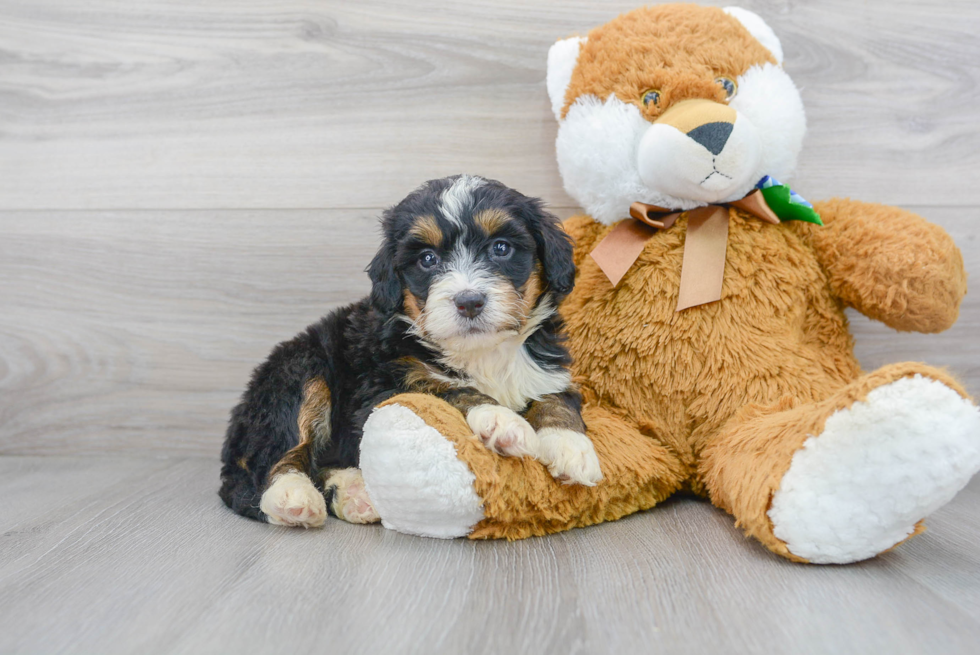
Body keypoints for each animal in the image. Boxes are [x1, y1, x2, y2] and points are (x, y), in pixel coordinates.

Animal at [221, 177, 600, 532]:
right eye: (427, 259)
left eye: (501, 248)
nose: (469, 301)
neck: (481, 352)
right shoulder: (381, 389)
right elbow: (448, 389)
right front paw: (501, 420)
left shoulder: (548, 370)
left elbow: (557, 399)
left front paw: (570, 446)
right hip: (300, 371)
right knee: (274, 460)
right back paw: (292, 497)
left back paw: (355, 494)